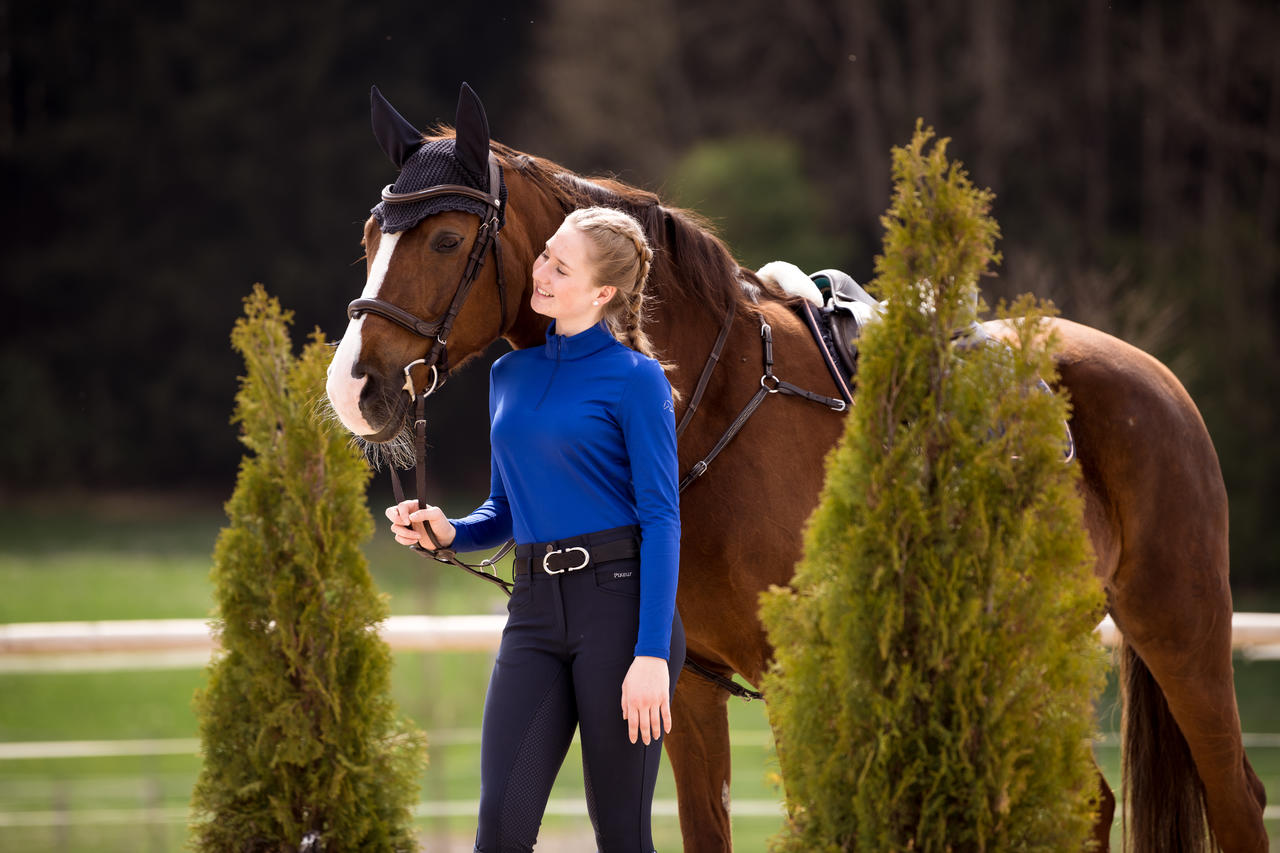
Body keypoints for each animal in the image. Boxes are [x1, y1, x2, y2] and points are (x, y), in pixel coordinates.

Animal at [325, 87, 1264, 850]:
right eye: (370, 234)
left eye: (447, 237)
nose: (355, 386)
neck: (709, 402)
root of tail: (1158, 380)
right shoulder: (685, 686)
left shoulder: (792, 676)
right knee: (1088, 802)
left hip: (1180, 632)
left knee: (1236, 799)